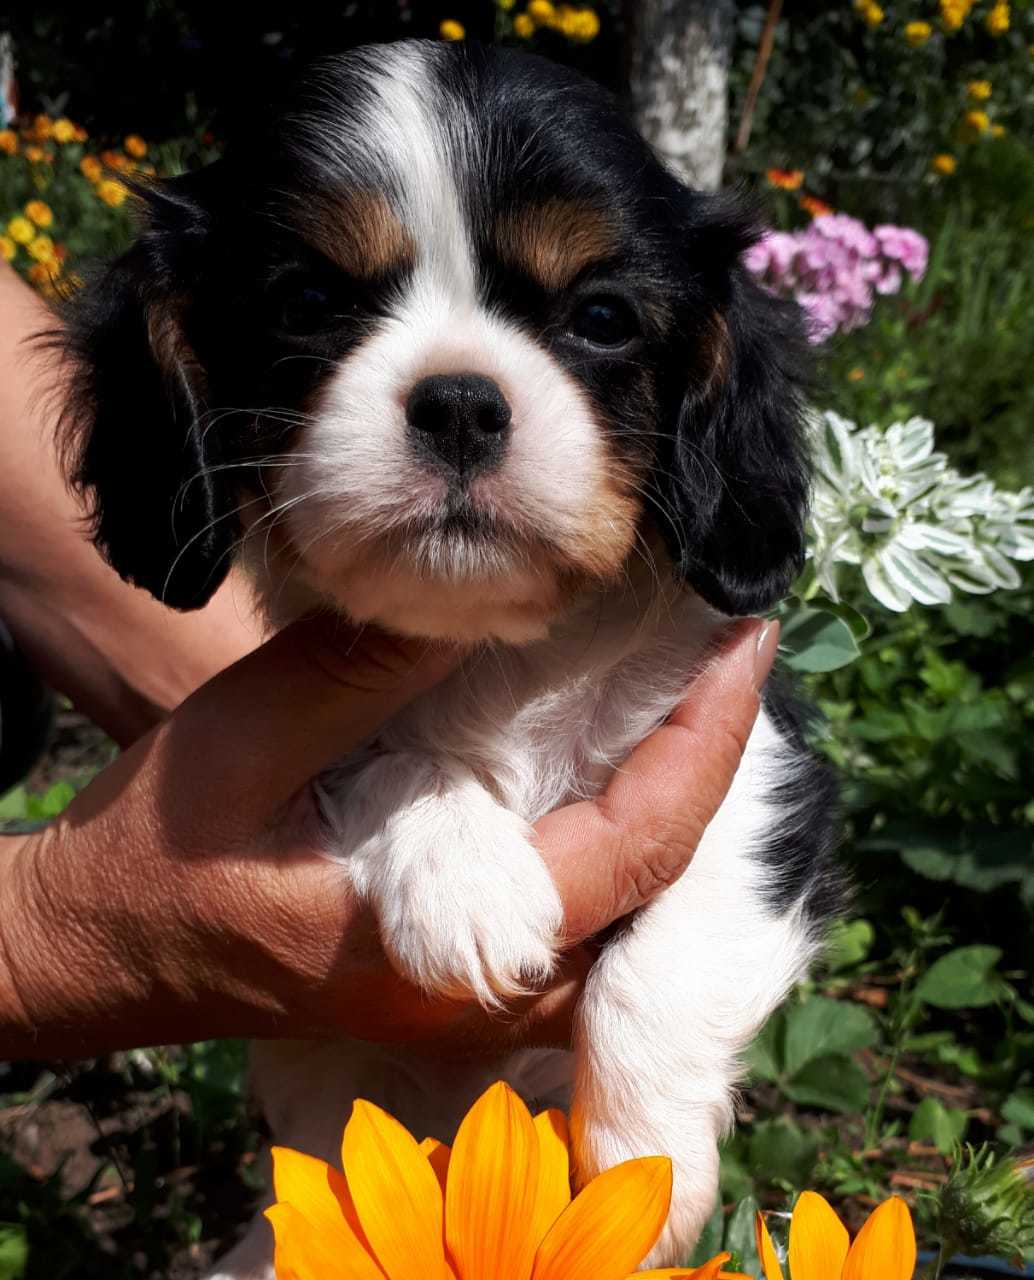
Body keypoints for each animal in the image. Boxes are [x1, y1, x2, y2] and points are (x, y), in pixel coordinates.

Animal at [56, 37, 844, 1269]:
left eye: (602, 317)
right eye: (308, 302)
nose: (463, 403)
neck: (497, 650)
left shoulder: (756, 748)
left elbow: (683, 922)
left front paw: (646, 1160)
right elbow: (383, 761)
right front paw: (461, 869)